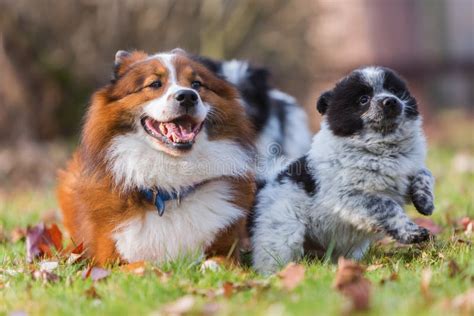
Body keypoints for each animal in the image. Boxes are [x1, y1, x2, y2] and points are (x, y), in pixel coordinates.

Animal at [57, 49, 258, 266]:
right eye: (154, 84)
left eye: (197, 84)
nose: (188, 97)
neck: (171, 189)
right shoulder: (109, 261)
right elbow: (144, 265)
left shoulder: (228, 250)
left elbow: (216, 262)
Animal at [254, 66, 436, 274]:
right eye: (363, 99)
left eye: (393, 90)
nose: (390, 101)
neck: (381, 148)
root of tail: (266, 183)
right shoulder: (349, 197)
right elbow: (387, 206)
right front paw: (412, 233)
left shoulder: (403, 177)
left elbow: (424, 173)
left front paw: (425, 202)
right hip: (283, 234)